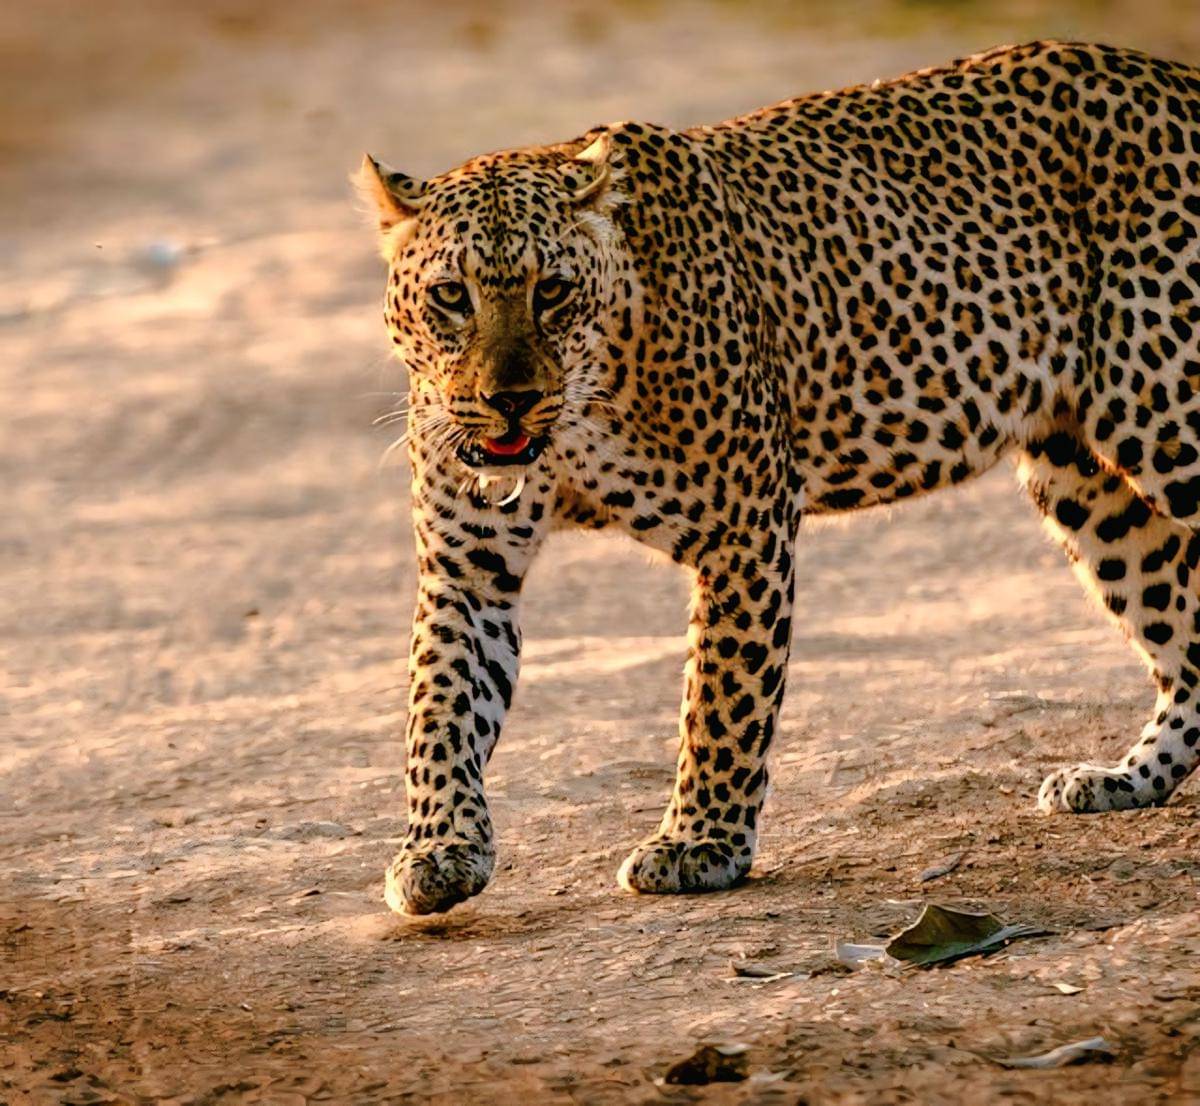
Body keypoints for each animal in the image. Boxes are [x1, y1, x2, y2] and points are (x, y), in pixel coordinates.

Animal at [357, 41, 1200, 916]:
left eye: (550, 291)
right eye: (450, 296)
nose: (510, 399)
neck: (581, 414)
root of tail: (1177, 80)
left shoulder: (744, 526)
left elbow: (722, 699)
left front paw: (698, 844)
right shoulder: (466, 567)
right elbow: (441, 707)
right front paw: (438, 849)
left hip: (1169, 418)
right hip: (1084, 479)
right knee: (1186, 641)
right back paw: (1124, 779)